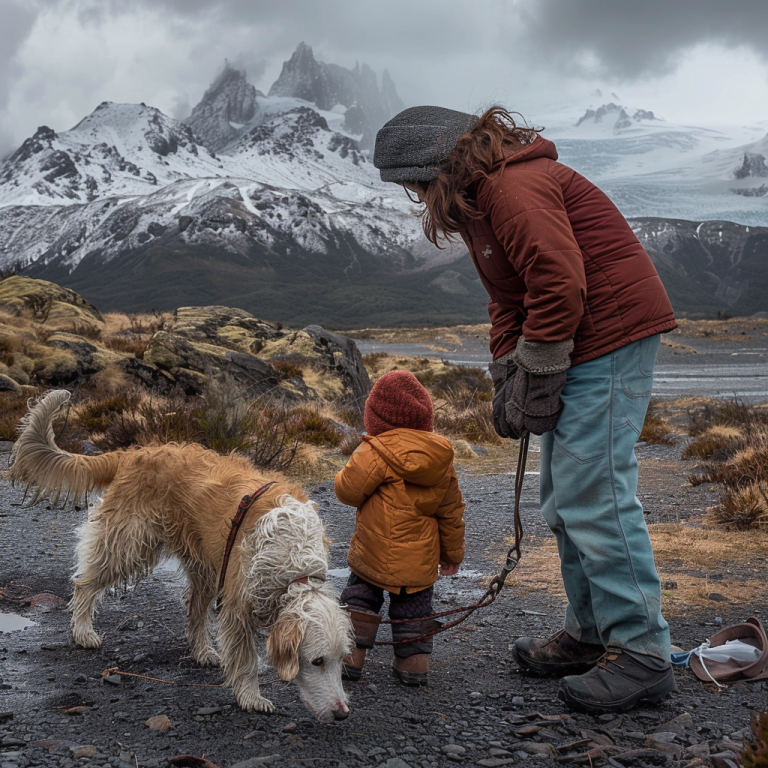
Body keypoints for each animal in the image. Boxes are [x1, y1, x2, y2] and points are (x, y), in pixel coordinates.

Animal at [7, 390, 356, 720]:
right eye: (316, 661)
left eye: (342, 661)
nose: (342, 713)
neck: (294, 559)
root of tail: (136, 452)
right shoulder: (237, 607)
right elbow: (246, 660)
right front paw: (251, 698)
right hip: (129, 544)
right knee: (85, 583)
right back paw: (82, 631)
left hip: (206, 566)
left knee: (193, 608)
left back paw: (201, 650)